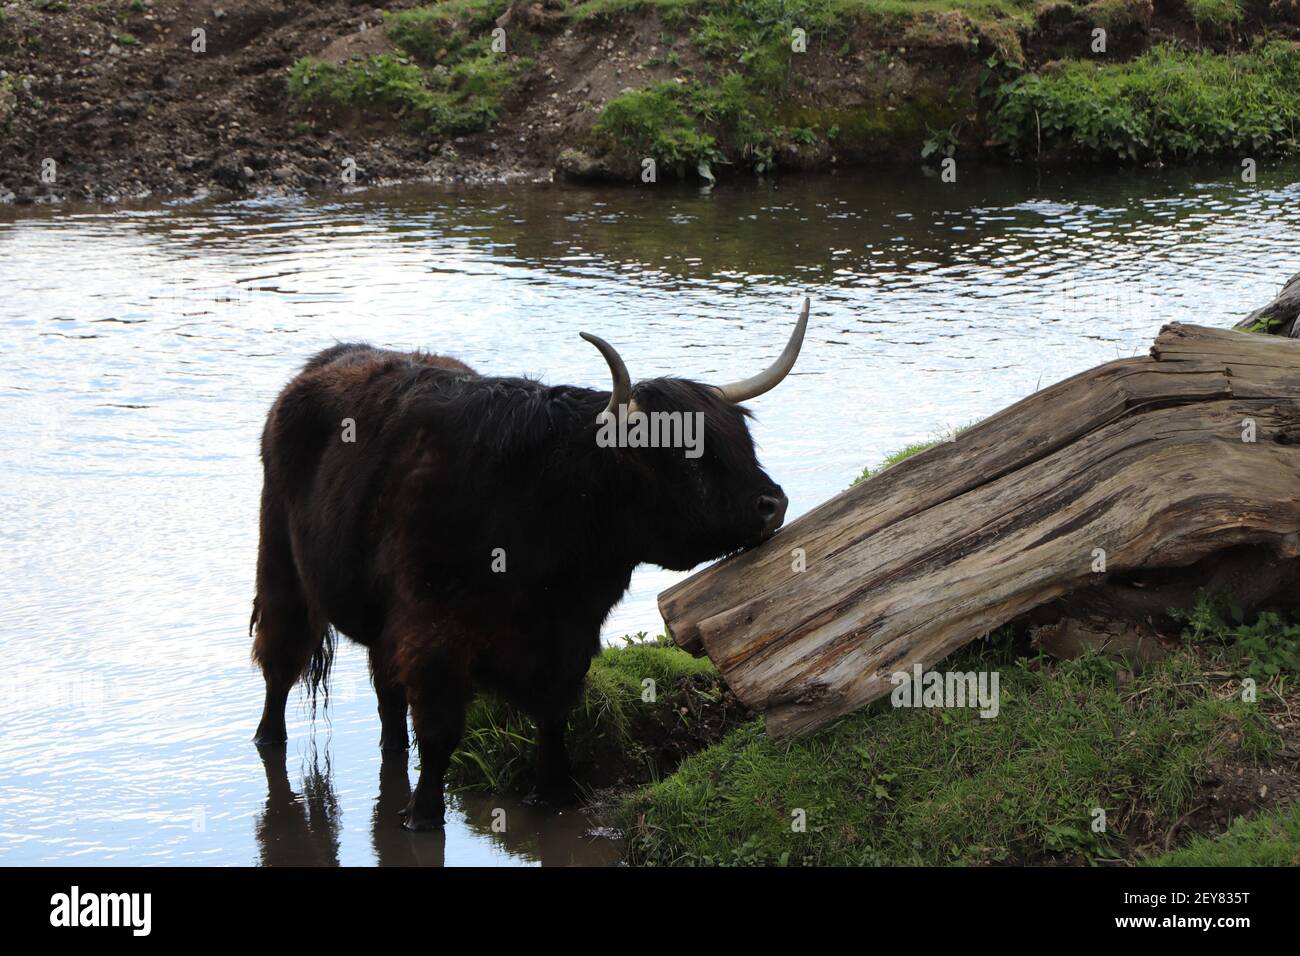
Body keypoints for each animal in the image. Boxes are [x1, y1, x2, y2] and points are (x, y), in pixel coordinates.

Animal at [250, 298, 809, 830]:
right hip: (282, 566)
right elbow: (439, 732)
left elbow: (553, 719)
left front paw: (556, 792)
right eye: (686, 456)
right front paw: (423, 815)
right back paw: (268, 738)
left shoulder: (569, 639)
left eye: (741, 441)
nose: (772, 504)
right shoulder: (432, 638)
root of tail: (330, 359)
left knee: (387, 694)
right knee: (280, 662)